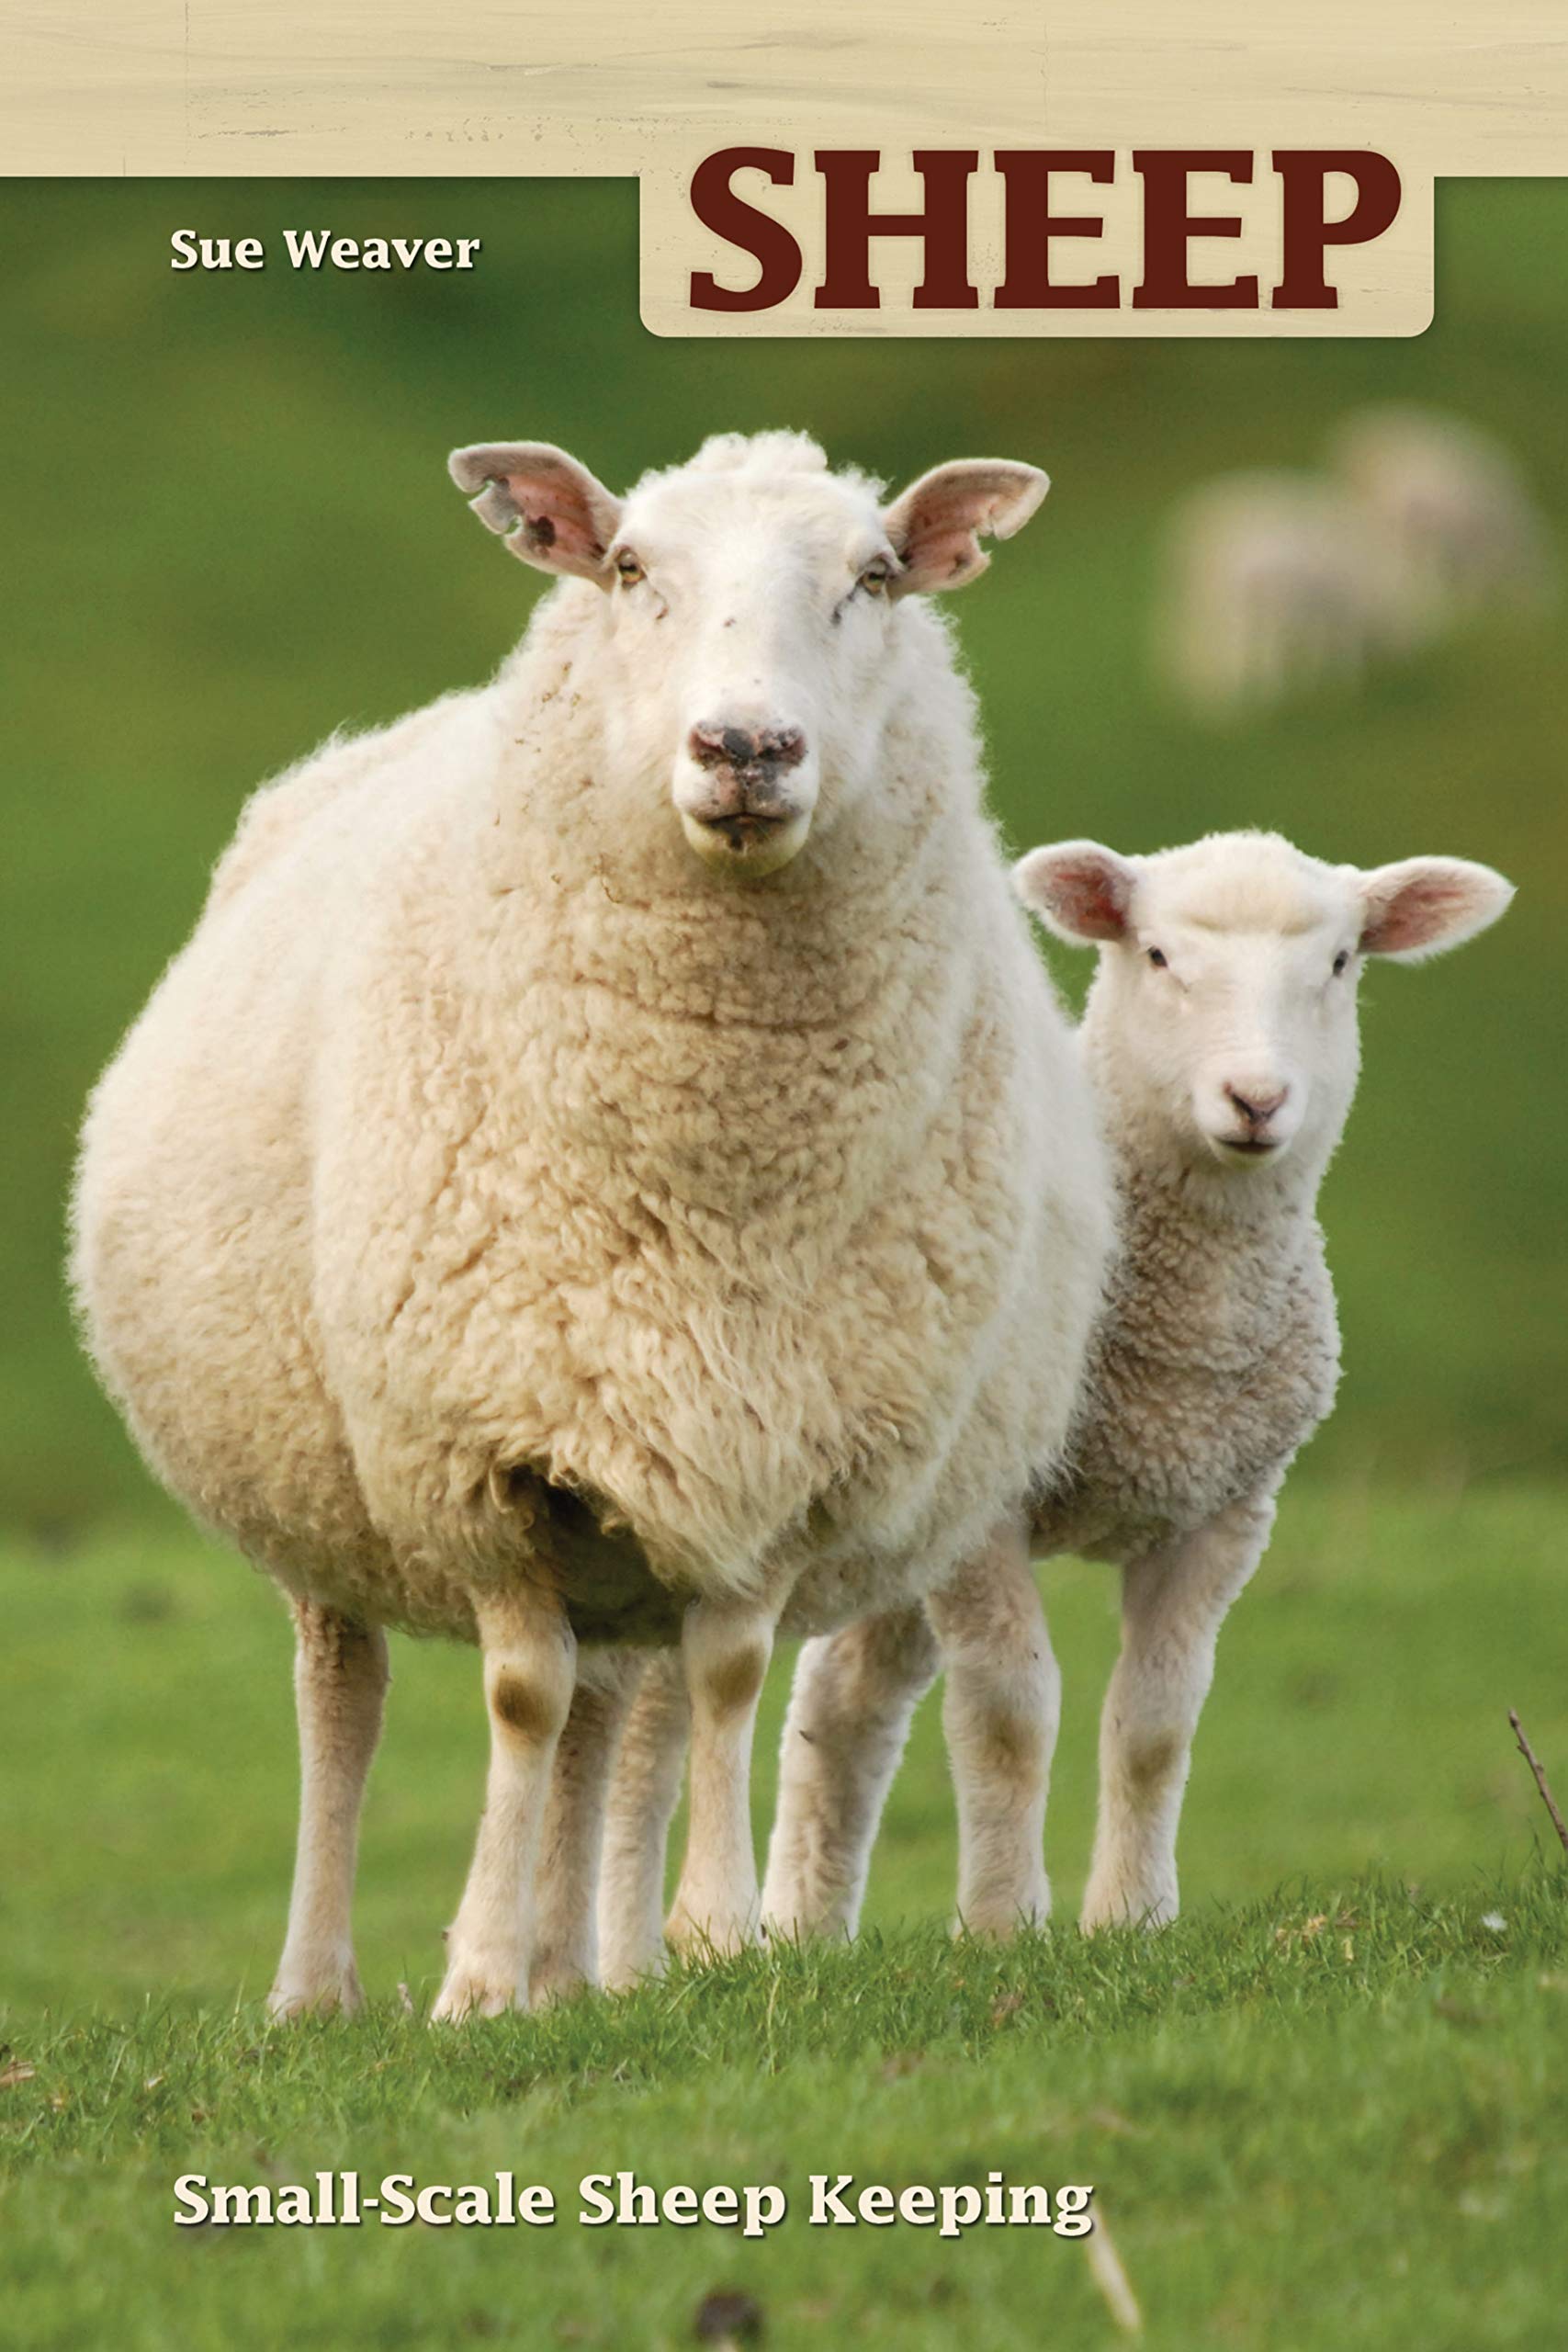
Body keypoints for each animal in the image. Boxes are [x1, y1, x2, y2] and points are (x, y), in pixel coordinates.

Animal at [70, 429, 1111, 2019]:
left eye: (873, 576)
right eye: (627, 569)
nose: (744, 749)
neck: (710, 1178)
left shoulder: (767, 1446)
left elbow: (720, 1681)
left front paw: (707, 1937)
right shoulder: (481, 1453)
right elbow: (515, 1695)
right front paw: (475, 1980)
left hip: (625, 1505)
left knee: (608, 1714)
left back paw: (576, 1972)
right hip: (323, 1481)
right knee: (346, 1703)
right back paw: (321, 1986)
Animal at [744, 830, 1513, 1943]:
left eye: (1338, 964)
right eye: (1155, 955)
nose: (1256, 1100)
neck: (1179, 1334)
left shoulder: (1224, 1511)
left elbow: (1155, 1724)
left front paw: (1132, 1918)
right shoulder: (990, 1522)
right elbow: (1008, 1716)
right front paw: (1001, 1924)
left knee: (841, 1701)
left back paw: (801, 1934)